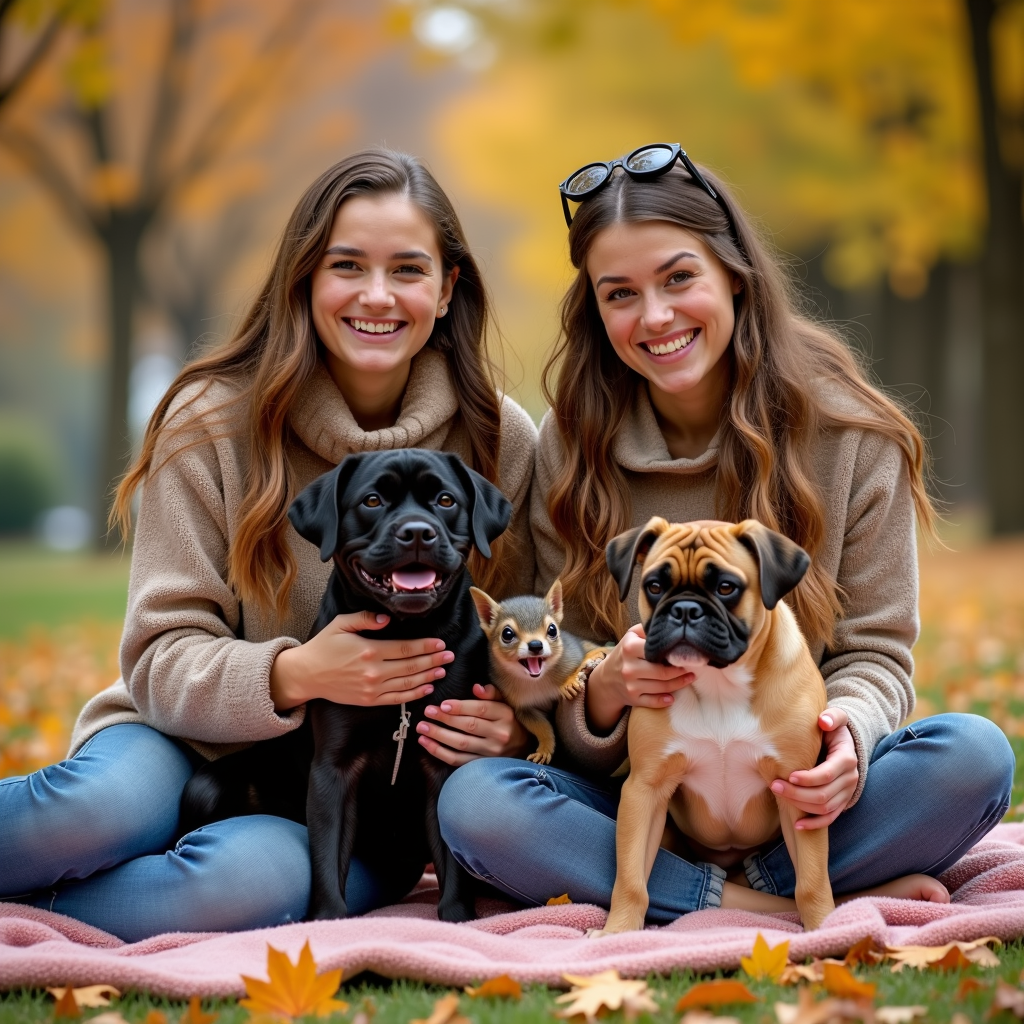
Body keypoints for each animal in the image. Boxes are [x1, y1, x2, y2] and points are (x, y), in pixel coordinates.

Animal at [180, 448, 512, 921]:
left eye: (446, 500)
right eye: (372, 501)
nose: (417, 532)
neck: (403, 630)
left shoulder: (443, 755)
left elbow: (452, 860)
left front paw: (457, 917)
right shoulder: (333, 769)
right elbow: (327, 854)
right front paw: (328, 921)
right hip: (205, 789)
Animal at [468, 581, 602, 765]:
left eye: (552, 629)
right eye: (507, 634)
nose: (536, 645)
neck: (537, 680)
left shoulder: (572, 656)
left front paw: (570, 681)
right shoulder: (523, 708)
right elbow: (541, 727)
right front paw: (545, 747)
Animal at [598, 520, 831, 937]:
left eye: (726, 588)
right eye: (654, 586)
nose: (685, 609)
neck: (718, 684)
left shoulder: (799, 793)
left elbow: (812, 881)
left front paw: (826, 928)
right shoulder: (645, 791)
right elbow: (631, 878)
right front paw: (617, 934)